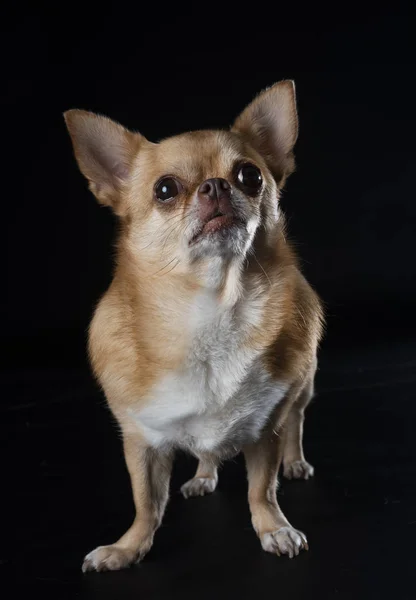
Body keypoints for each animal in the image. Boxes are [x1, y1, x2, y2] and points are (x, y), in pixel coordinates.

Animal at [65, 81, 324, 572]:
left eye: (250, 176)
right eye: (165, 189)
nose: (217, 185)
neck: (210, 311)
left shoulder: (266, 428)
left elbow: (262, 489)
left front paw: (274, 528)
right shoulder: (141, 442)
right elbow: (146, 502)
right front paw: (128, 547)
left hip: (304, 384)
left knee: (298, 420)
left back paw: (296, 461)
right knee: (207, 454)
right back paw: (203, 476)